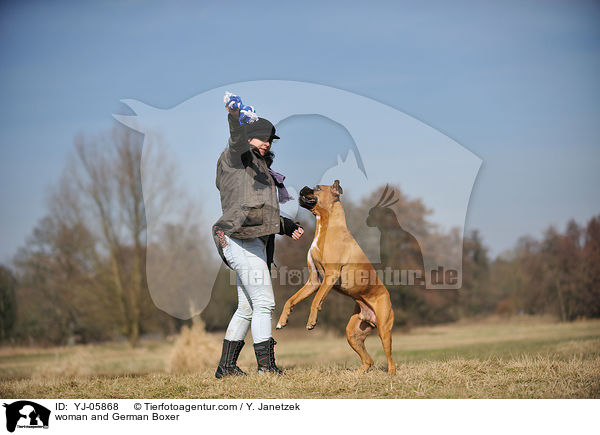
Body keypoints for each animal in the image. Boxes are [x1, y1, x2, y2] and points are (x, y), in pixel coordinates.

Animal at [278, 181, 398, 374]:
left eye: (317, 188)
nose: (303, 187)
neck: (326, 225)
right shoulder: (314, 280)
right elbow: (291, 300)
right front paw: (282, 321)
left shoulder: (330, 276)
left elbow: (316, 300)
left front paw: (311, 322)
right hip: (353, 333)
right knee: (368, 360)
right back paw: (358, 374)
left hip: (384, 329)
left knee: (390, 360)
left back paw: (391, 375)